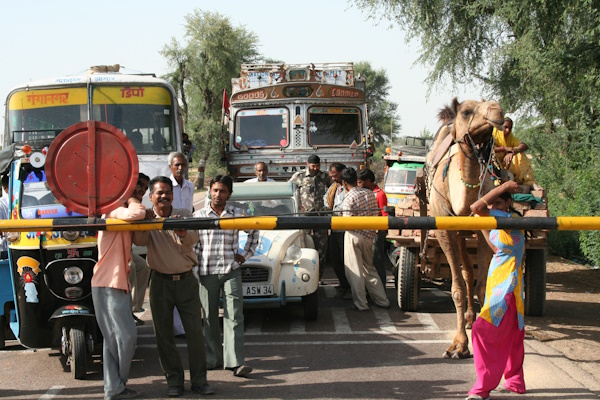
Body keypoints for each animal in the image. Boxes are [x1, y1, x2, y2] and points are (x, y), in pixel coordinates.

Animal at [424, 97, 504, 360]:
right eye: (467, 112)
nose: (497, 111)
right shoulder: (445, 230)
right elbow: (457, 287)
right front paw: (459, 345)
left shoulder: (484, 230)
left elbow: (482, 286)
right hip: (457, 234)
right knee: (466, 273)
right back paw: (468, 320)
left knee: (471, 273)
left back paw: (471, 318)